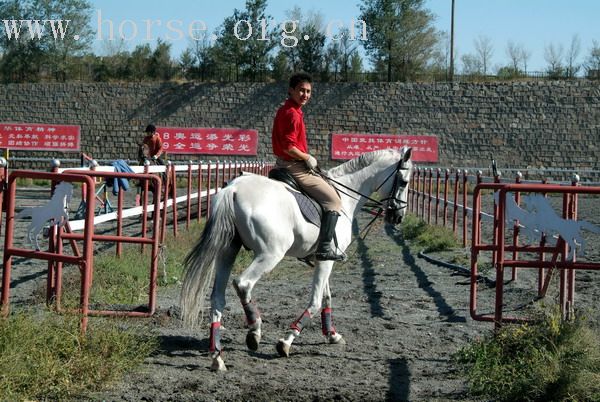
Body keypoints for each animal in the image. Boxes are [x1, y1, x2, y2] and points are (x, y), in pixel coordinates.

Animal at [179, 147, 412, 370]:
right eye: (404, 181)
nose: (398, 217)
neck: (345, 198)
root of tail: (233, 189)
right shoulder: (326, 260)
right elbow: (316, 301)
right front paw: (287, 342)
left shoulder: (322, 259)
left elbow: (327, 297)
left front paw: (332, 334)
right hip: (270, 254)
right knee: (243, 284)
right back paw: (255, 331)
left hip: (227, 251)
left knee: (217, 297)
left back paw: (217, 357)